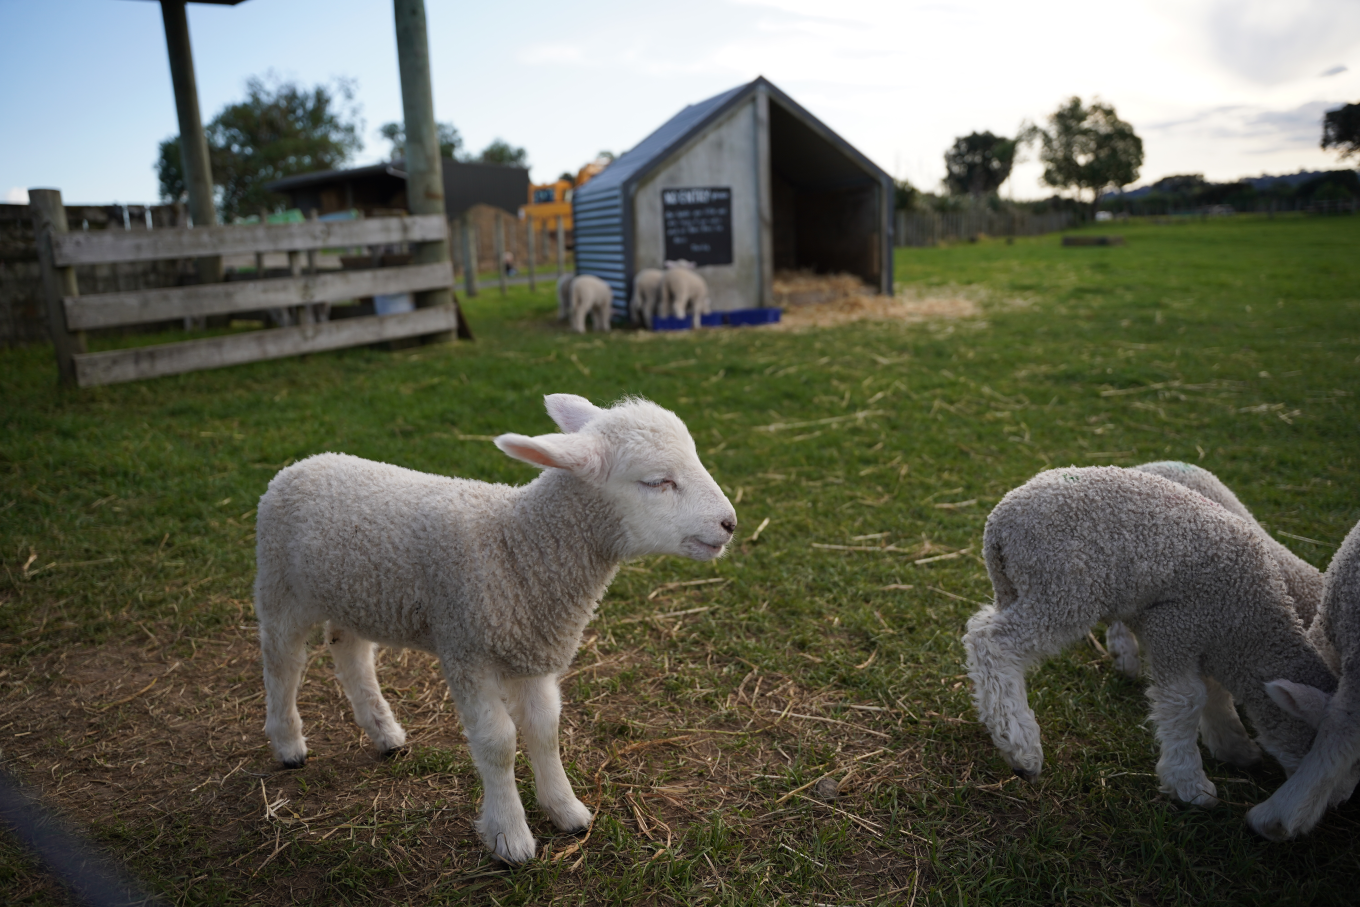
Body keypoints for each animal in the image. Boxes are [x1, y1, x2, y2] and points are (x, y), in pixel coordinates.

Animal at [253, 394, 737, 863]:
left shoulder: (532, 650)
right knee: (282, 664)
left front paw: (566, 810)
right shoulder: (467, 650)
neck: (516, 547)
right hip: (280, 589)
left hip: (352, 595)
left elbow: (545, 729)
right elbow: (498, 743)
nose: (730, 523)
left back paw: (384, 732)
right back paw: (289, 744)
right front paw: (510, 835)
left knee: (349, 649)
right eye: (657, 482)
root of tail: (305, 463)